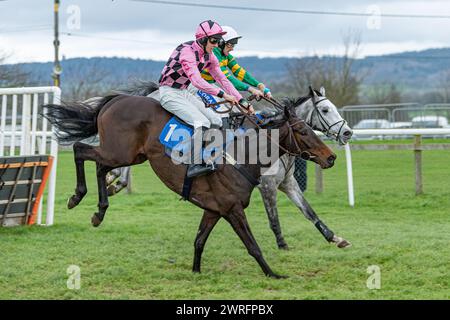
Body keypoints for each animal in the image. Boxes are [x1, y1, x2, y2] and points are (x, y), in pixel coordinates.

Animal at [42, 93, 336, 278]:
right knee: (80, 150)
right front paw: (273, 273)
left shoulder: (214, 209)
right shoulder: (232, 209)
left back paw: (100, 210)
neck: (241, 156)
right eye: (303, 131)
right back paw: (77, 197)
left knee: (100, 167)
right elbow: (252, 245)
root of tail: (116, 99)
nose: (331, 157)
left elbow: (199, 240)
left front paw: (195, 270)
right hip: (118, 152)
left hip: (128, 155)